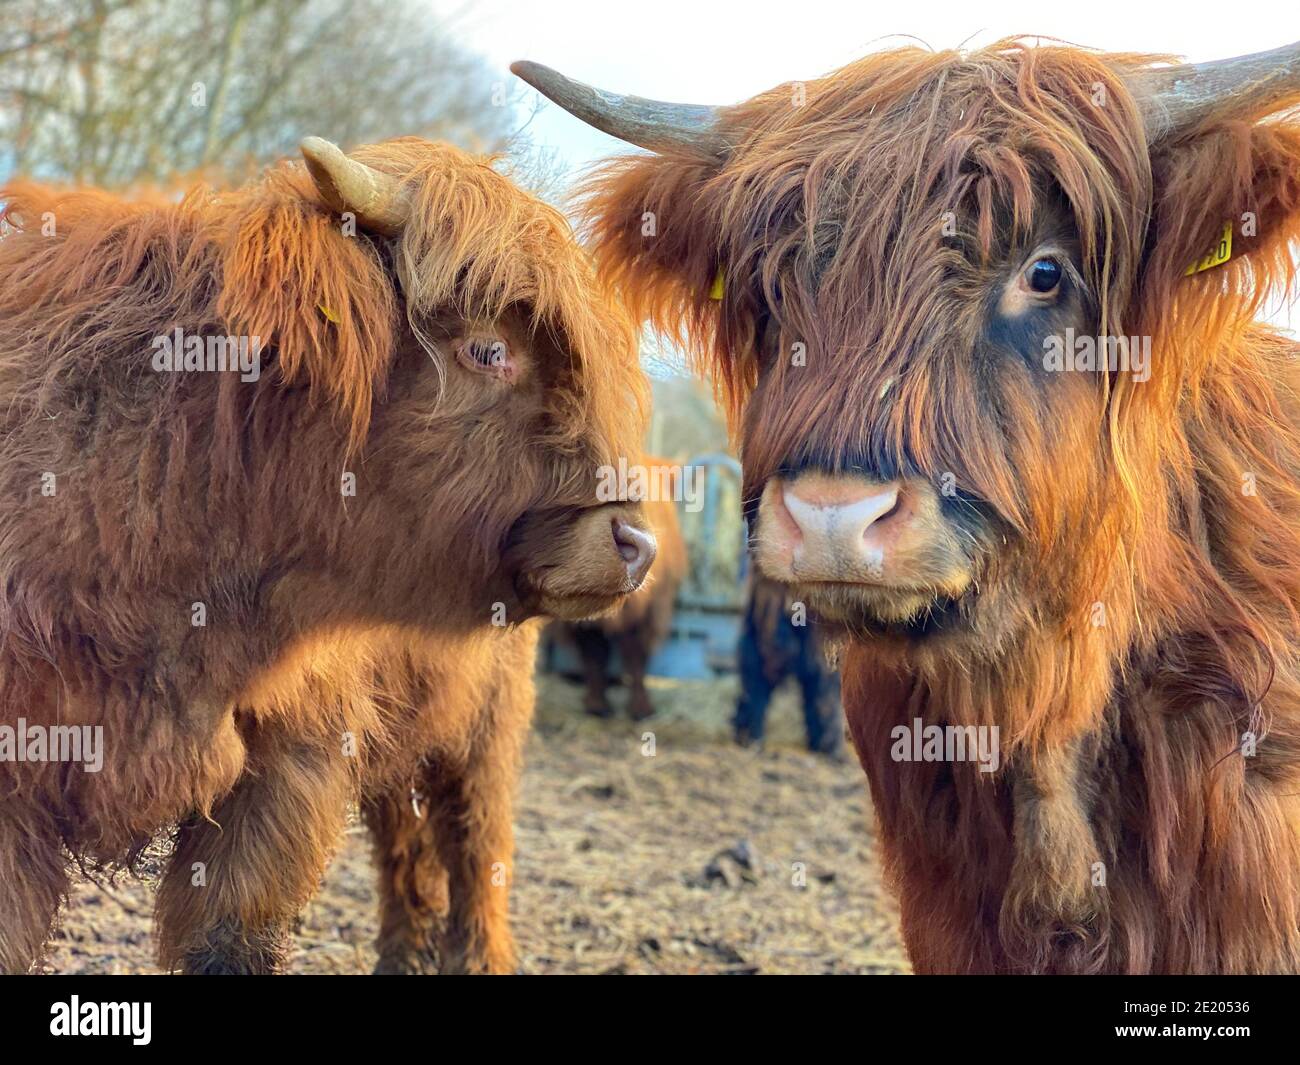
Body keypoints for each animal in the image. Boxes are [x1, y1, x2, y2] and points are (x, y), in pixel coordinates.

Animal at [0, 135, 650, 972]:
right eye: (487, 348)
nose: (636, 542)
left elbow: (231, 935)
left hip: (484, 728)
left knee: (478, 848)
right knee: (410, 847)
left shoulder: (289, 760)